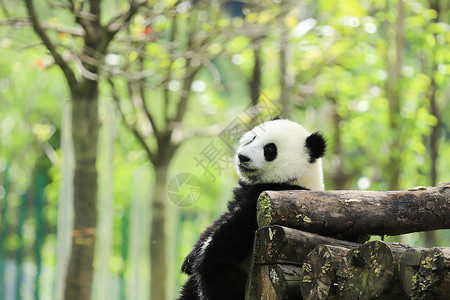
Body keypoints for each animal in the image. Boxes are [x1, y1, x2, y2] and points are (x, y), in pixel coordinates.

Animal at [177, 118, 326, 298]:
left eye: (270, 149)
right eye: (253, 138)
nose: (243, 157)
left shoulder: (275, 197)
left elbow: (238, 227)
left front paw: (203, 259)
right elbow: (217, 223)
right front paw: (190, 259)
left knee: (218, 281)